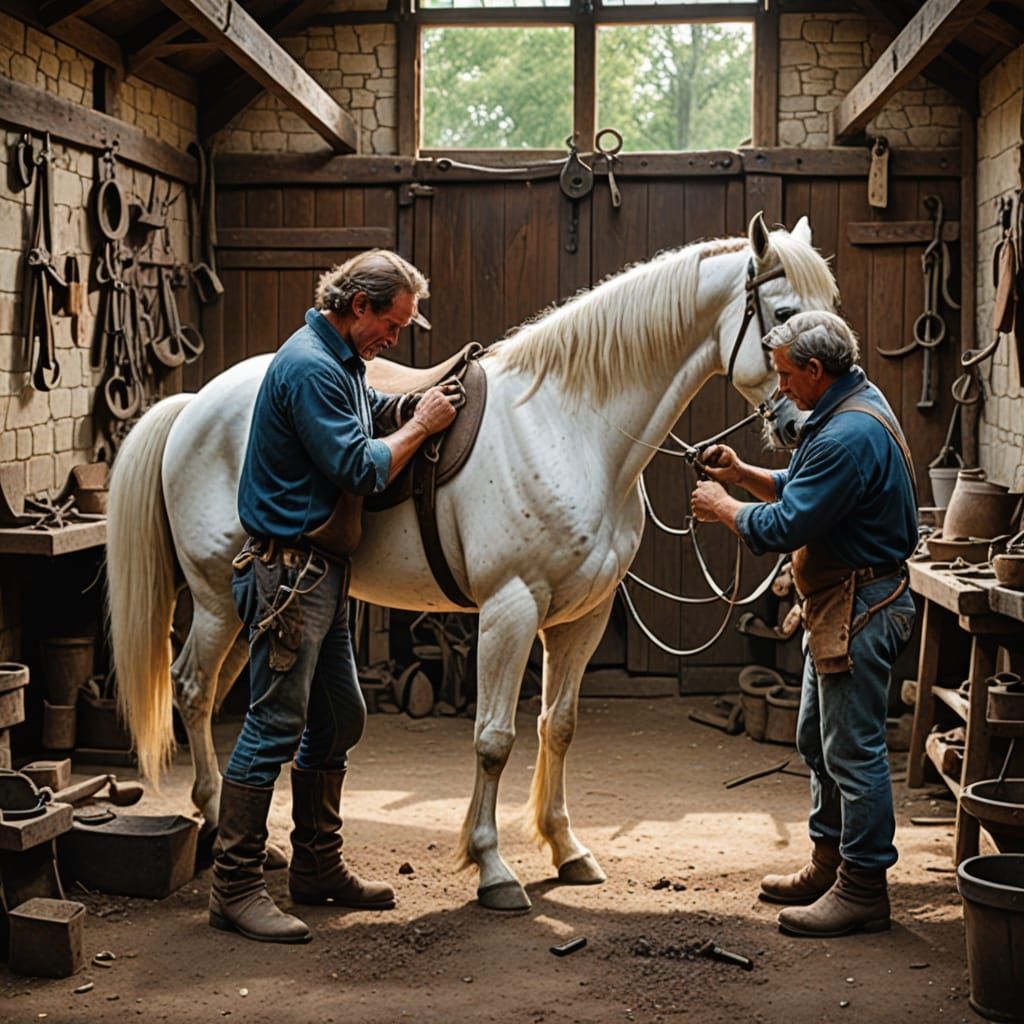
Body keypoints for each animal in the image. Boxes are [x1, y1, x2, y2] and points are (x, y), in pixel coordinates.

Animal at [106, 212, 838, 910]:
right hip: (215, 600)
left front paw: (566, 849)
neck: (570, 425)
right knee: (194, 690)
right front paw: (493, 869)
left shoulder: (583, 618)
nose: (804, 425)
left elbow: (558, 727)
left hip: (249, 613)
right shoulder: (510, 608)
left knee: (219, 695)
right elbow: (493, 739)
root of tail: (194, 405)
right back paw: (219, 825)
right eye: (782, 314)